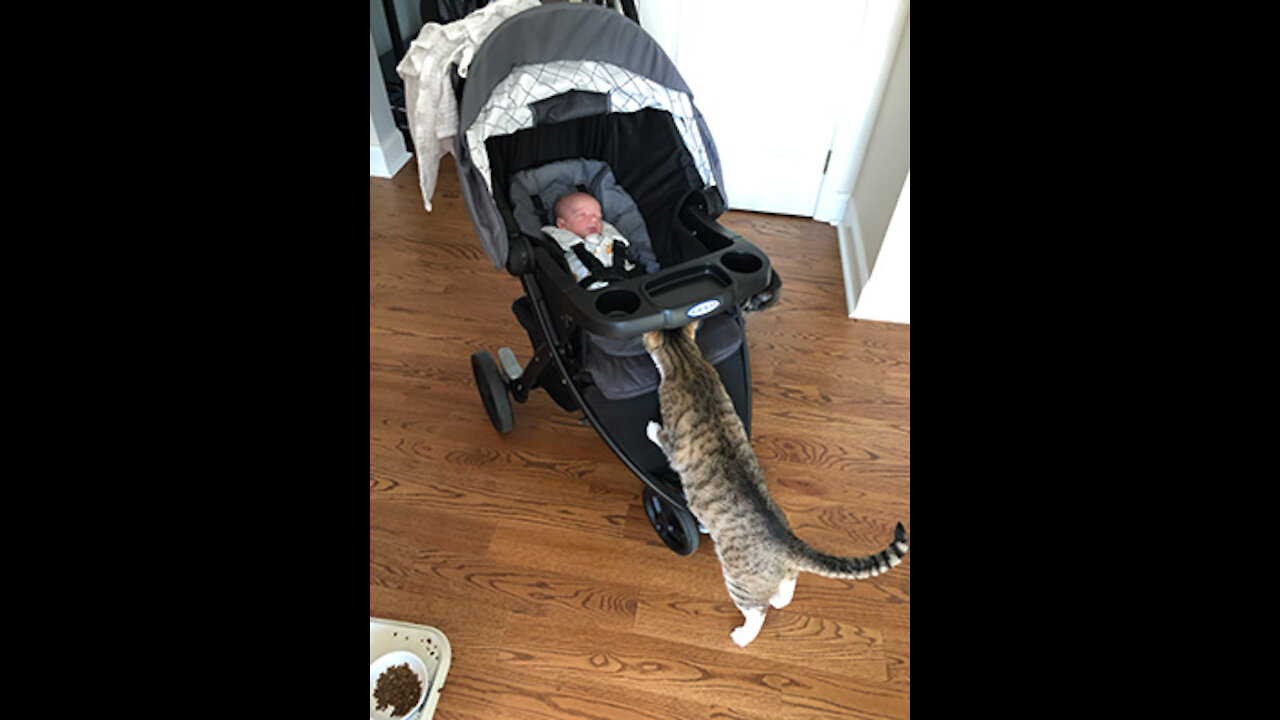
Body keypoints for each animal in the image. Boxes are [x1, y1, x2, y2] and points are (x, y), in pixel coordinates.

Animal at [640, 319, 911, 645]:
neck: (688, 364)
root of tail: (788, 543)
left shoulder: (673, 444)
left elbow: (660, 437)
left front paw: (651, 428)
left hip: (738, 580)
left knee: (758, 610)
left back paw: (743, 636)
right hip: (778, 572)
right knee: (788, 584)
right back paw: (781, 597)